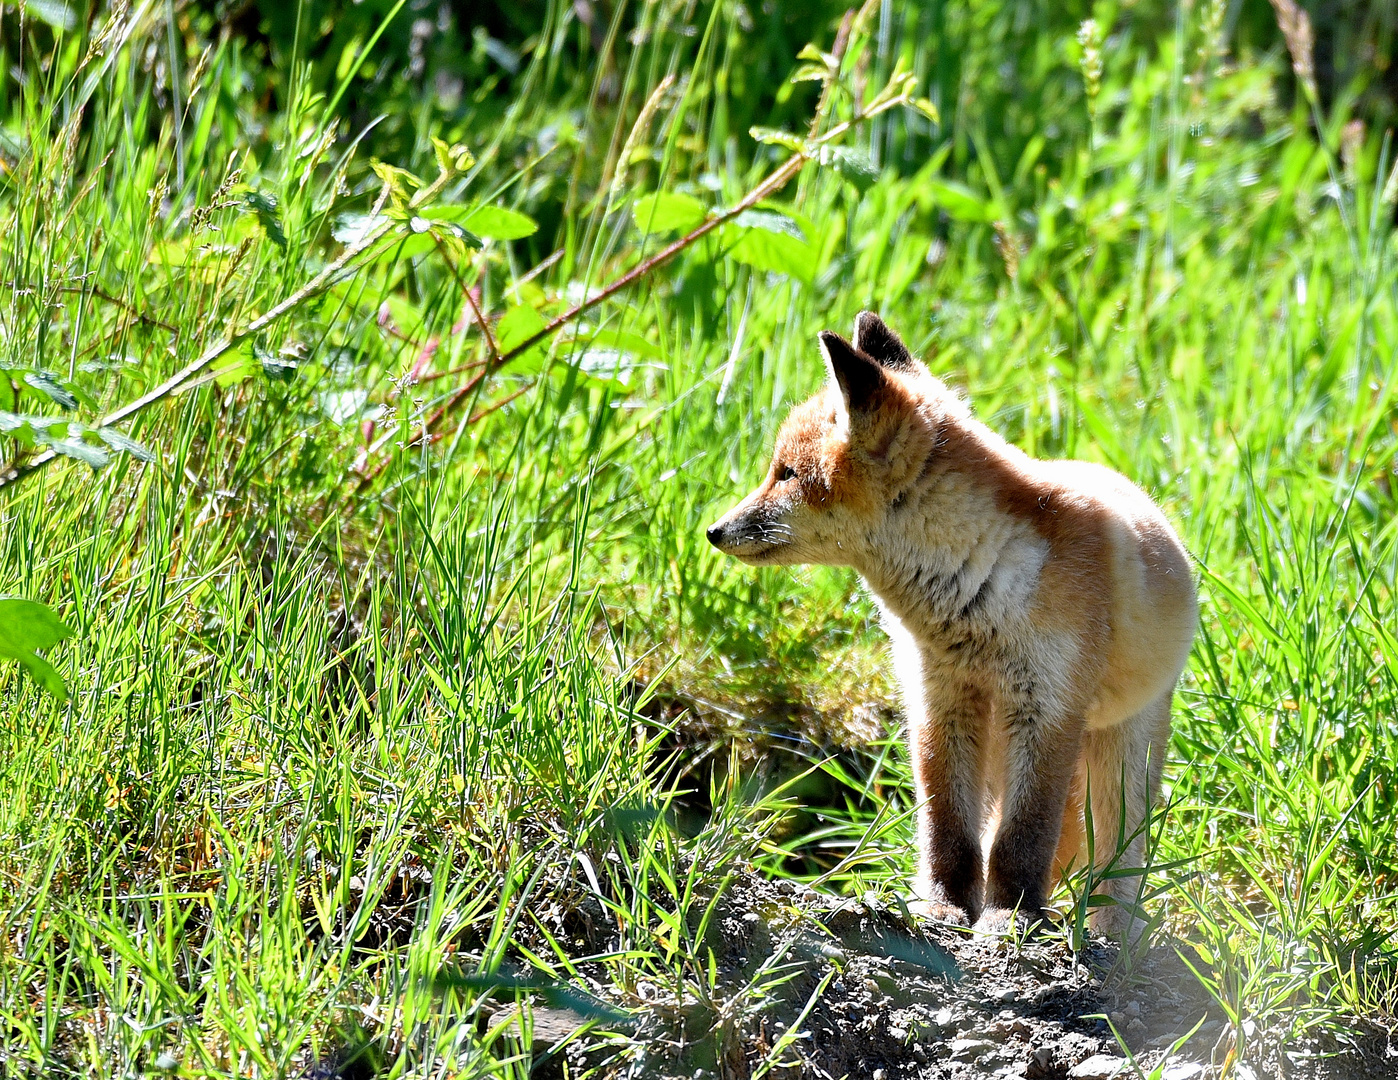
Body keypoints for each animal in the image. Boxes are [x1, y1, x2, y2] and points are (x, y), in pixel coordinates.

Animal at [704, 311, 1196, 933]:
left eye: (787, 474)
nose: (714, 531)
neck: (977, 593)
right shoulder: (939, 696)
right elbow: (949, 830)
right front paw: (943, 906)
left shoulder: (1048, 705)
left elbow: (1023, 836)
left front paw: (1011, 915)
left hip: (1121, 750)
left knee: (1118, 854)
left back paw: (1112, 930)